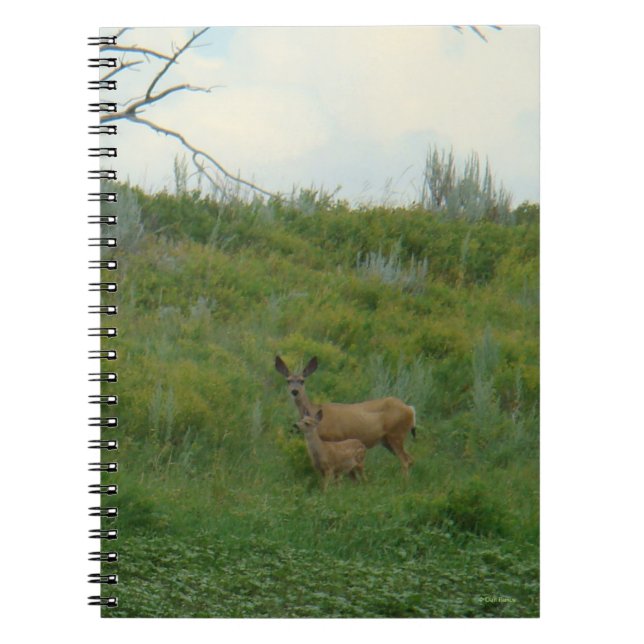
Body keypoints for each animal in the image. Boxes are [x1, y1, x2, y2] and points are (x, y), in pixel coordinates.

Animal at [275, 355, 416, 475]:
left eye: (302, 381)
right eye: (288, 381)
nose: (295, 391)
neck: (315, 411)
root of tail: (409, 408)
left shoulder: (335, 438)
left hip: (396, 434)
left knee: (405, 460)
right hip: (387, 440)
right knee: (410, 459)